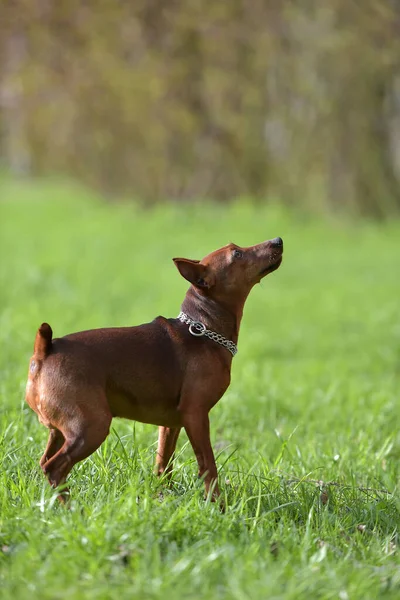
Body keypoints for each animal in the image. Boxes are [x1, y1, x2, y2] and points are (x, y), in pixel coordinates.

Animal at [25, 238, 282, 502]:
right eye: (237, 254)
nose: (277, 241)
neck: (202, 329)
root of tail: (45, 351)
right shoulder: (196, 416)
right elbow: (208, 466)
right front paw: (217, 505)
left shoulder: (171, 424)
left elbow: (163, 465)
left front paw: (163, 499)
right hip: (91, 427)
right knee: (55, 468)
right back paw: (72, 508)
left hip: (60, 431)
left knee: (44, 462)